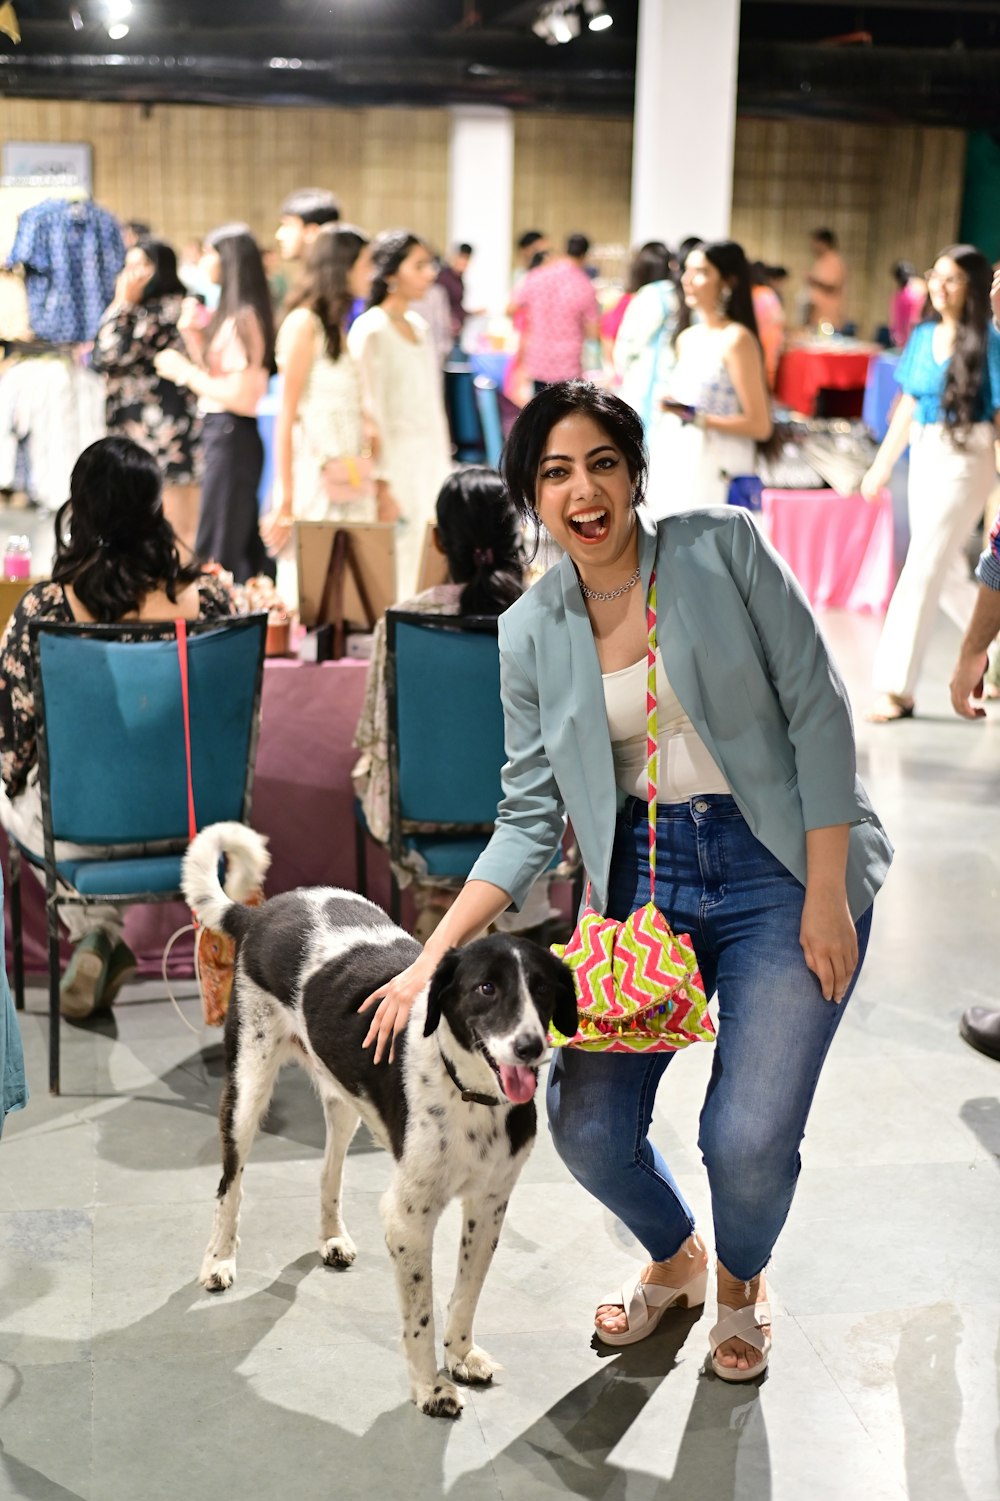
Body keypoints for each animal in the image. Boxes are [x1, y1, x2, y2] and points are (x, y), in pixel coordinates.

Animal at [182, 822, 573, 1416]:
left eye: (544, 989)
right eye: (486, 988)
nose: (531, 1048)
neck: (472, 1096)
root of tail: (262, 912)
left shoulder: (490, 1204)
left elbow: (465, 1293)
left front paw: (461, 1355)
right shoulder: (408, 1219)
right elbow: (421, 1314)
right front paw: (430, 1387)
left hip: (345, 1104)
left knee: (328, 1171)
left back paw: (331, 1238)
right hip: (247, 1088)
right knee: (231, 1184)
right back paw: (219, 1261)